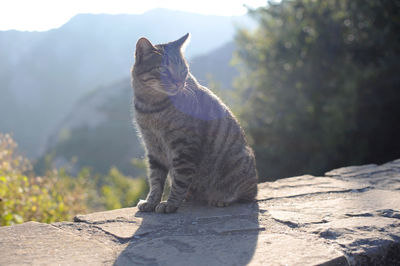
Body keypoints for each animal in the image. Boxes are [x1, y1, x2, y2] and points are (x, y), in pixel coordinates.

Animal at [130, 33, 256, 214]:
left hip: (239, 162)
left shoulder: (184, 146)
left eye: (183, 70)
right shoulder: (153, 147)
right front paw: (151, 201)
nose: (178, 82)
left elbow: (180, 180)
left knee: (245, 195)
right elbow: (155, 180)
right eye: (163, 69)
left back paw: (221, 199)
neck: (152, 107)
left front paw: (170, 203)